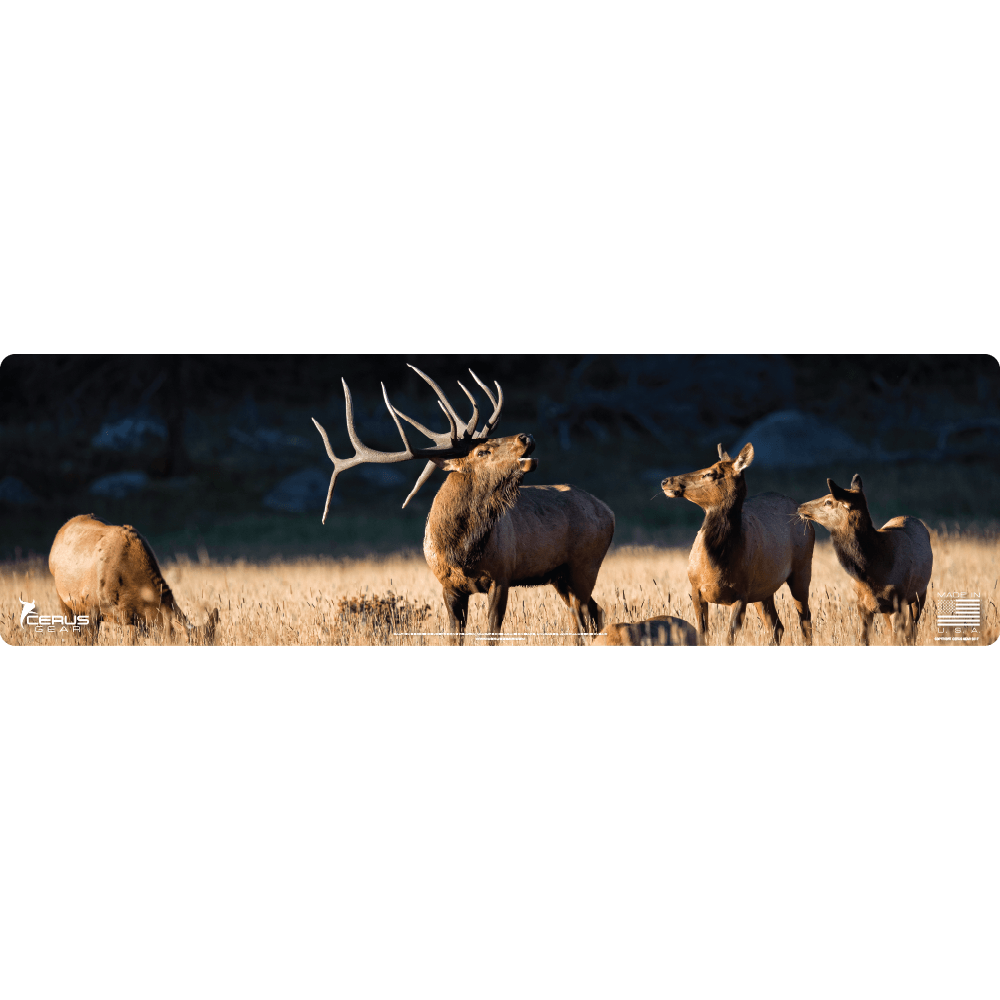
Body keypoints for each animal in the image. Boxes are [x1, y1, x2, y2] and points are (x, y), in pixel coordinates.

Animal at [312, 365, 615, 645]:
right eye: (483, 451)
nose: (526, 436)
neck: (461, 551)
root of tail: (609, 511)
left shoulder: (502, 575)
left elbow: (491, 633)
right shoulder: (448, 585)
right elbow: (454, 635)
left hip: (585, 564)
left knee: (587, 615)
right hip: (561, 575)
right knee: (589, 613)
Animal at [660, 443, 815, 646]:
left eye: (710, 473)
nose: (666, 481)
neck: (717, 564)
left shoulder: (741, 594)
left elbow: (729, 638)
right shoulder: (695, 589)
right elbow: (703, 634)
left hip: (802, 569)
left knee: (805, 621)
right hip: (763, 589)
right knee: (777, 627)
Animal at [797, 475, 932, 645]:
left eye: (828, 501)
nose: (800, 507)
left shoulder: (898, 601)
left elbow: (899, 637)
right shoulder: (862, 604)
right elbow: (863, 639)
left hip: (920, 593)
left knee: (912, 630)